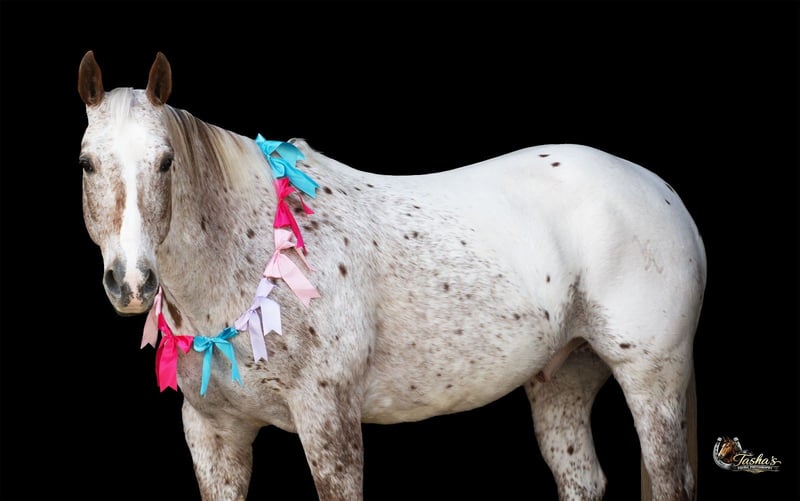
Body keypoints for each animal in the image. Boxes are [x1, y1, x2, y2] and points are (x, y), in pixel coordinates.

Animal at [77, 50, 706, 501]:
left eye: (166, 162)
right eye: (87, 164)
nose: (131, 283)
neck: (251, 260)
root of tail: (662, 191)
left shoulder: (329, 421)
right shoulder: (213, 434)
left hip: (653, 380)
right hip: (564, 379)